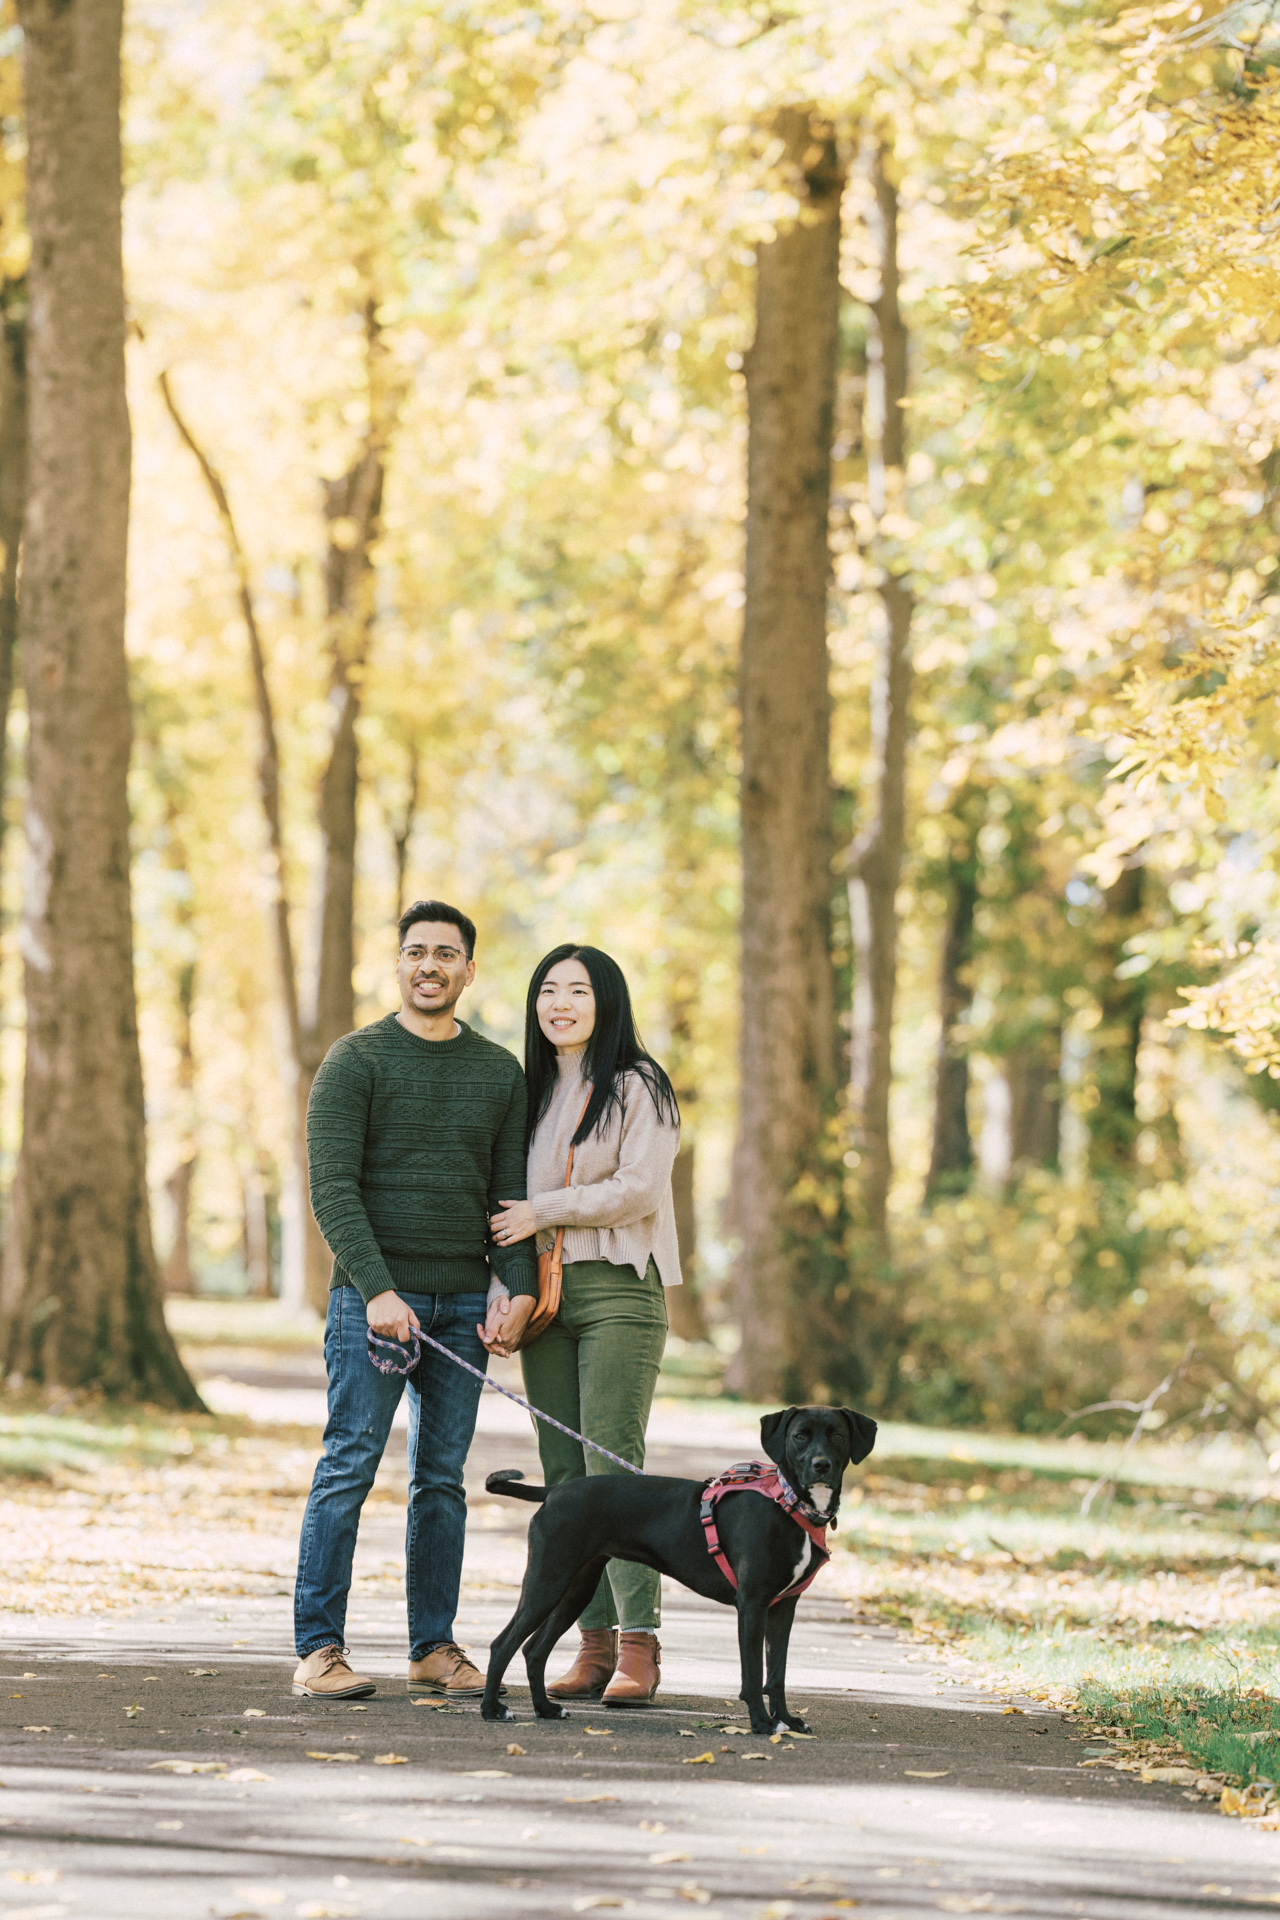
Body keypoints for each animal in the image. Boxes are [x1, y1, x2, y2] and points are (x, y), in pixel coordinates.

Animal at [481, 1404, 877, 1734]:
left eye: (838, 1435)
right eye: (799, 1436)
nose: (821, 1465)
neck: (788, 1504)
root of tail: (554, 1492)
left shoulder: (783, 1608)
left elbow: (776, 1673)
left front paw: (787, 1720)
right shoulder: (753, 1604)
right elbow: (753, 1674)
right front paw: (763, 1724)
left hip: (576, 1589)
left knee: (534, 1649)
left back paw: (545, 1709)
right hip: (547, 1581)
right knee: (503, 1644)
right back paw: (492, 1710)